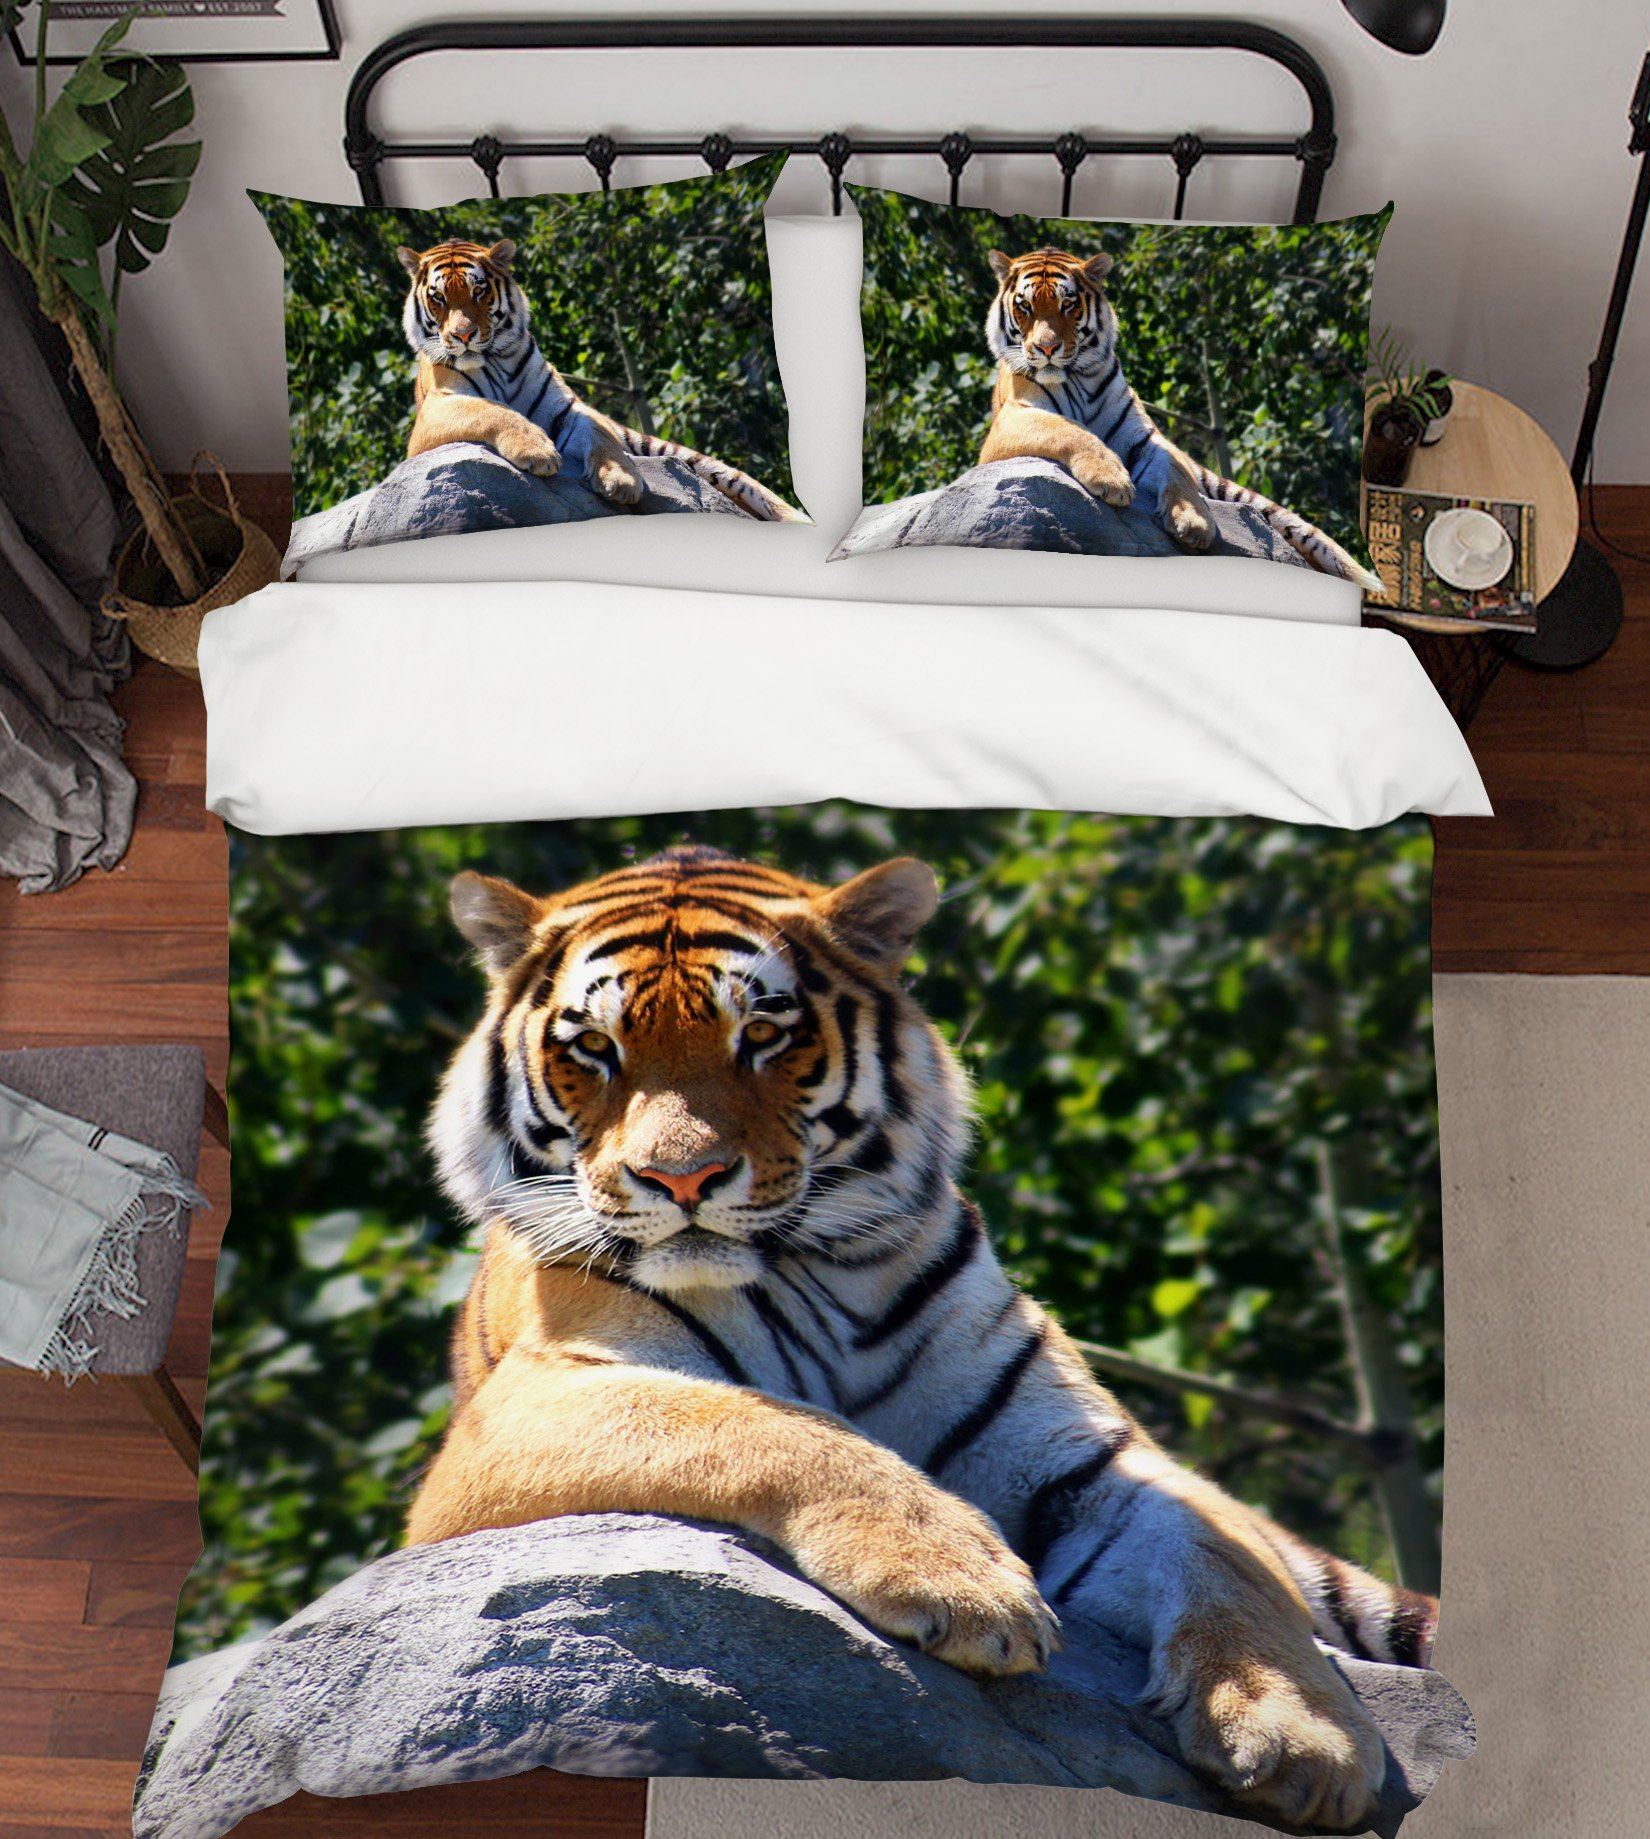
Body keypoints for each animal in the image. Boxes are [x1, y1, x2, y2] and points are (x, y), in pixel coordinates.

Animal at [396, 238, 804, 521]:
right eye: (438, 299)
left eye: (478, 291)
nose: (463, 335)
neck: (495, 359)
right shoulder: (436, 411)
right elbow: (491, 410)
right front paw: (537, 452)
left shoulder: (568, 408)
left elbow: (600, 434)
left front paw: (621, 481)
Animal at [410, 845, 1435, 1831]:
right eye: (595, 1046)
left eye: (764, 1036)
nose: (683, 1178)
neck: (823, 1272)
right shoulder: (522, 1409)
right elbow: (763, 1424)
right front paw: (966, 1586)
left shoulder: (1092, 1460)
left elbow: (1227, 1557)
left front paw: (1302, 1737)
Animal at [979, 246, 1385, 593]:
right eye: (1025, 307)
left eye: (1067, 305)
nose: (1046, 348)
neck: (1078, 377)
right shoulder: (1012, 421)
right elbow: (1068, 430)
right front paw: (1112, 480)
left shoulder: (1145, 437)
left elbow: (1176, 471)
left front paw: (1195, 523)